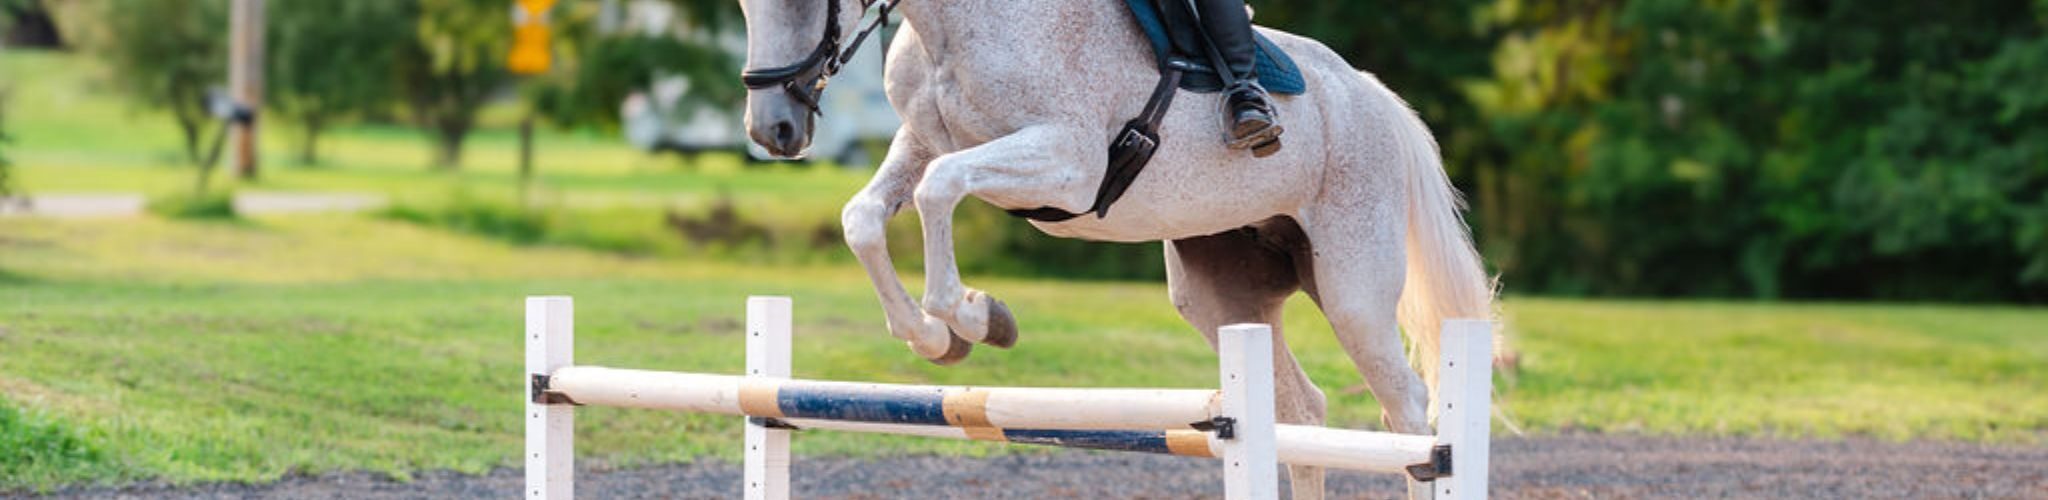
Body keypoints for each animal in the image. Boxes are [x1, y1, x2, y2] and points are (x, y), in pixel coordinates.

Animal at [733, 1, 1490, 497]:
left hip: (1352, 287)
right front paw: (934, 338)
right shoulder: (921, 141)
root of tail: (1369, 93)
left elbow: (938, 190)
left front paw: (976, 317)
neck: (952, 28)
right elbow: (865, 217)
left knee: (1409, 416)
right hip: (1221, 294)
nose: (774, 129)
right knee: (1301, 411)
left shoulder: (1067, 165)